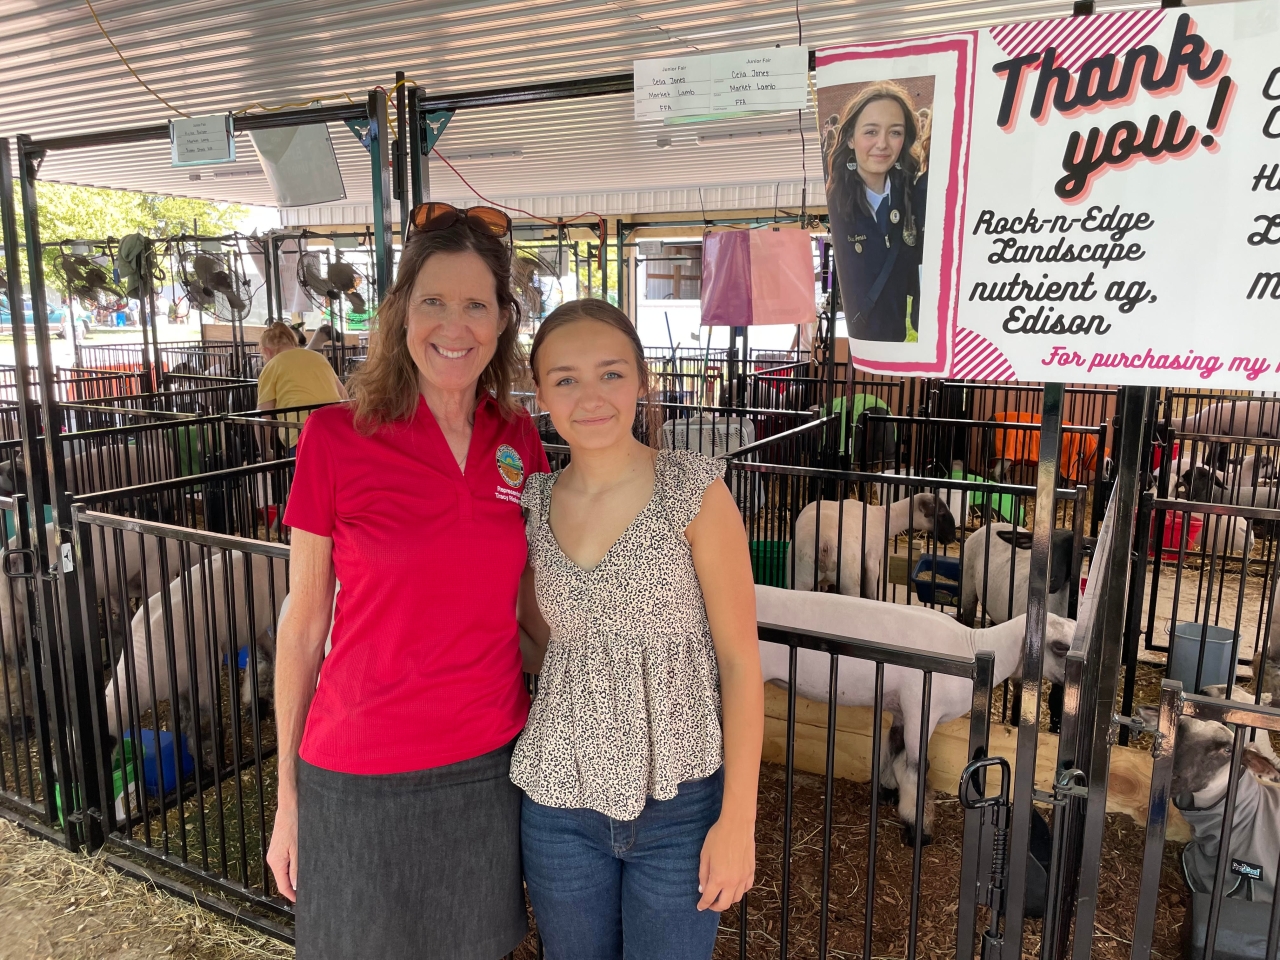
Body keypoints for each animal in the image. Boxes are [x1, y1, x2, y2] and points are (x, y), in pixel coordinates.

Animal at [102, 547, 288, 773]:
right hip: (255, 626)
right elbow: (185, 714)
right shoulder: (178, 686)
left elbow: (203, 716)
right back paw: (256, 705)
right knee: (267, 655)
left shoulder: (206, 668)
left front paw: (208, 756)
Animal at [793, 496, 957, 601]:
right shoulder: (872, 556)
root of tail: (825, 543)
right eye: (941, 512)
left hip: (800, 578)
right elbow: (871, 592)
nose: (952, 537)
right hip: (849, 580)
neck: (884, 517)